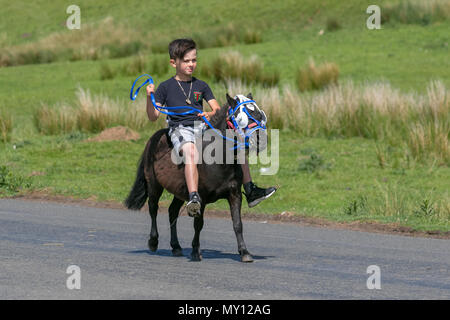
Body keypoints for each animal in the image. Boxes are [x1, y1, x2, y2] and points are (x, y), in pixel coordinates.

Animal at [123, 93, 264, 262]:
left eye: (259, 114)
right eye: (241, 117)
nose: (260, 139)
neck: (218, 159)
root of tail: (154, 138)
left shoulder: (234, 194)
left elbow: (237, 224)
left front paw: (244, 252)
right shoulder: (200, 197)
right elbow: (198, 224)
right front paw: (196, 251)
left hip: (179, 191)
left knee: (172, 211)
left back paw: (176, 246)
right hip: (154, 185)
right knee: (153, 208)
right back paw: (153, 241)